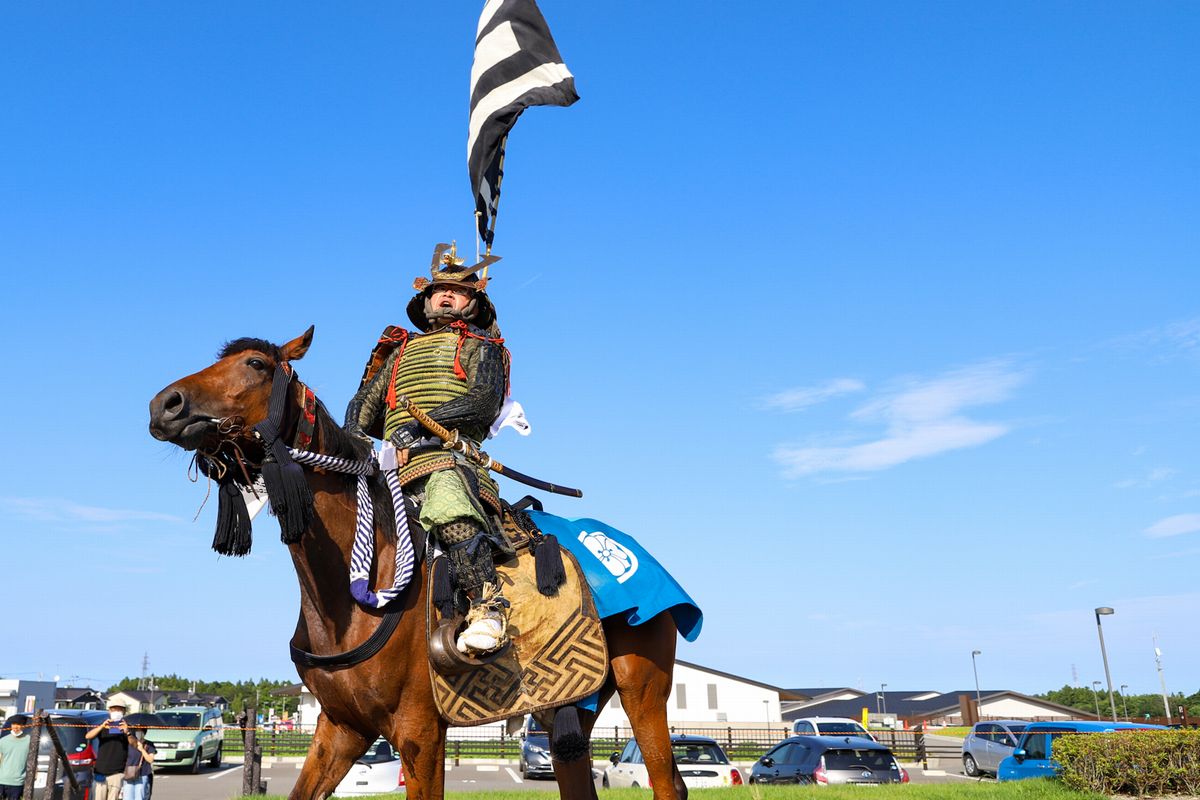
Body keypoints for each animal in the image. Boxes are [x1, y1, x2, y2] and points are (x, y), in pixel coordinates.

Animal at [148, 326, 691, 800]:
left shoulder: (419, 732)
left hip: (641, 686)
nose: (165, 405)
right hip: (571, 702)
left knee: (668, 779)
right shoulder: (342, 726)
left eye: (256, 365)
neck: (349, 591)